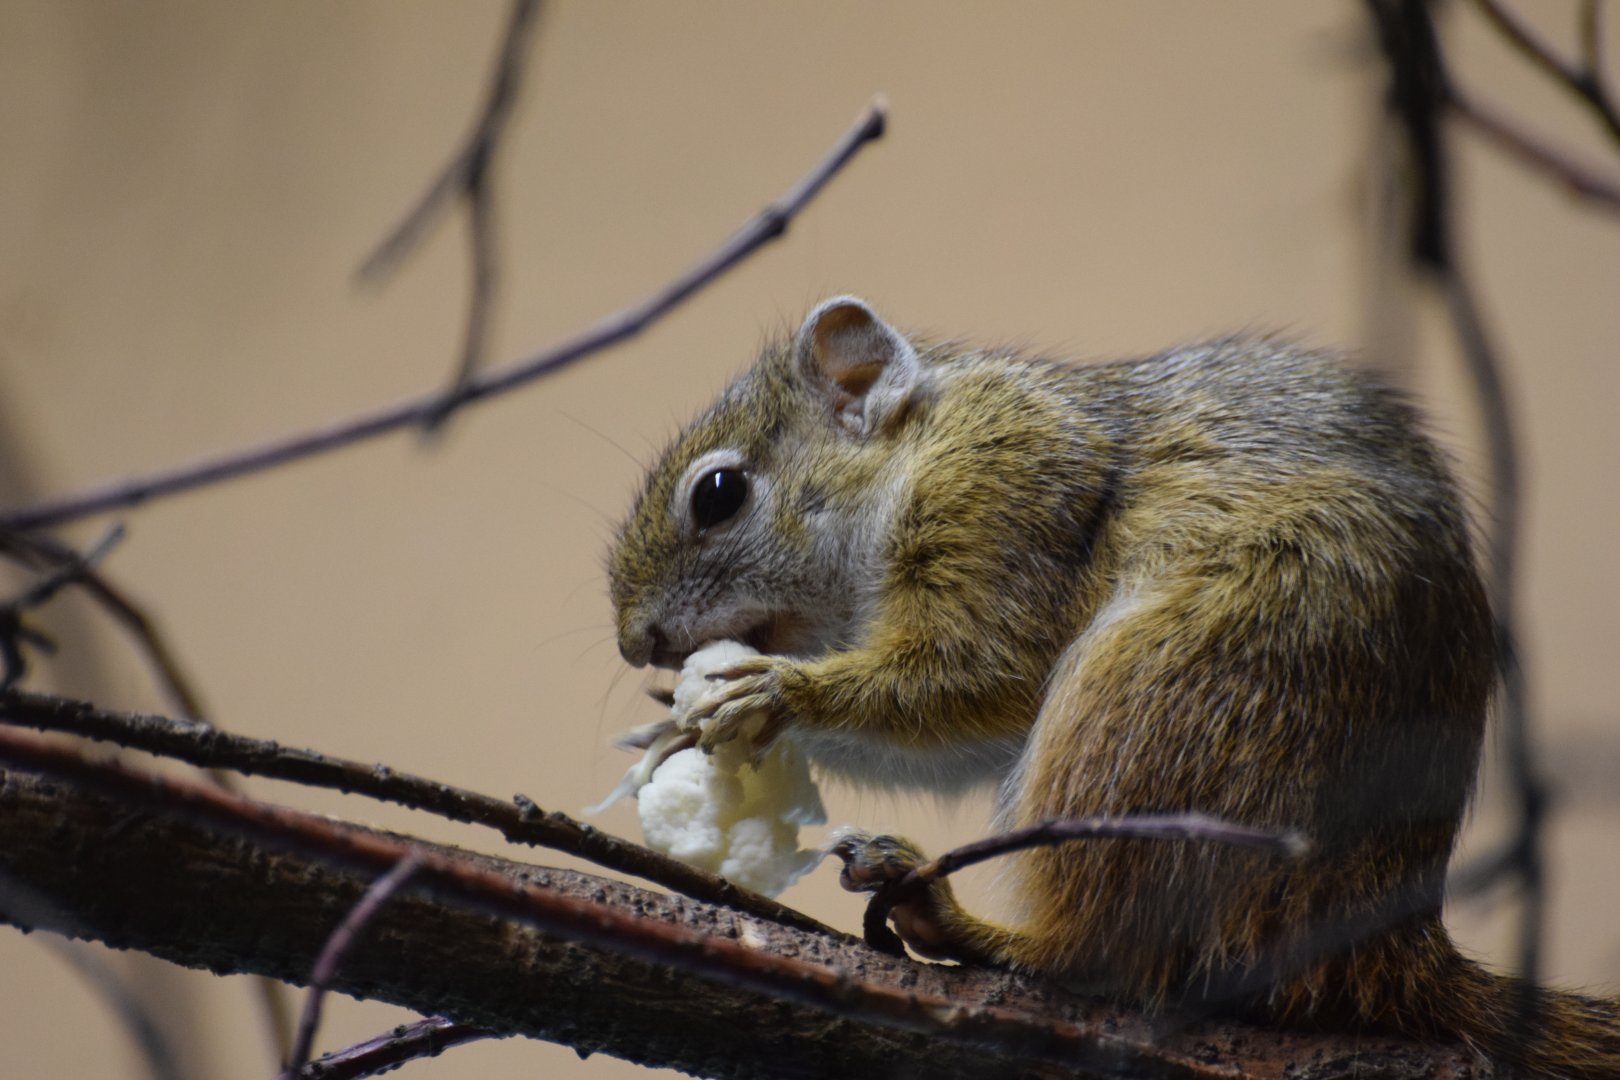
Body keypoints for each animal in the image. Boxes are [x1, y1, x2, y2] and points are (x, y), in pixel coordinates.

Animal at [608, 295, 1619, 1075]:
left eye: (720, 494)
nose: (634, 642)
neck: (914, 455)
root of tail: (1377, 928)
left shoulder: (1003, 495)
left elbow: (977, 675)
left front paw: (770, 696)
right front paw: (673, 721)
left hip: (1166, 694)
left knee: (1111, 956)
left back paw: (971, 927)